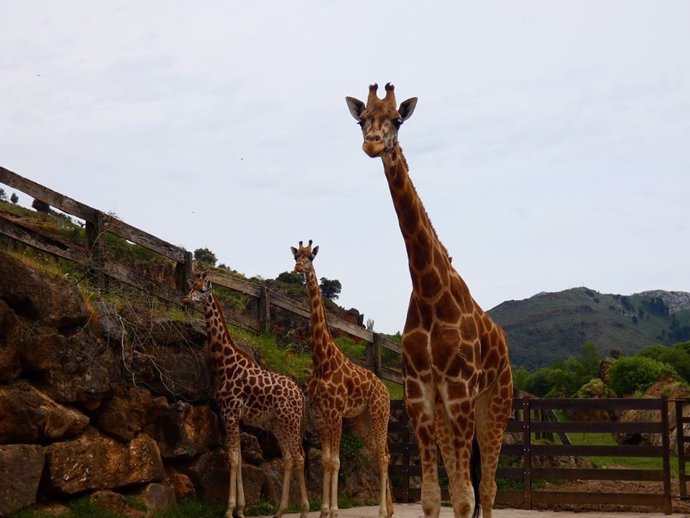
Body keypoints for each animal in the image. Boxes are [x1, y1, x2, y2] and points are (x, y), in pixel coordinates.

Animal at [180, 272, 306, 518]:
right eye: (192, 286)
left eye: (202, 290)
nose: (186, 299)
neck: (226, 363)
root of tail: (299, 394)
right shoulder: (234, 416)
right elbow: (237, 457)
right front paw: (240, 508)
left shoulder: (230, 412)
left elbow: (234, 458)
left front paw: (230, 509)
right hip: (277, 423)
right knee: (288, 458)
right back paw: (280, 510)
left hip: (290, 420)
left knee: (299, 456)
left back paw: (306, 510)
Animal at [288, 242, 390, 518]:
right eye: (296, 255)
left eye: (311, 257)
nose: (298, 267)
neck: (322, 362)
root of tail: (387, 390)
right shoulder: (321, 413)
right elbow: (326, 461)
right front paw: (324, 510)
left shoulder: (335, 413)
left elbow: (335, 461)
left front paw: (332, 510)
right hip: (361, 420)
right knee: (381, 453)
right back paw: (389, 510)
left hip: (379, 414)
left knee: (383, 456)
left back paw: (381, 511)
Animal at [344, 84, 510, 518]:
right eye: (361, 120)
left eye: (397, 120)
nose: (373, 143)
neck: (429, 291)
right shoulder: (420, 395)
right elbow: (434, 497)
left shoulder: (459, 391)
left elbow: (465, 496)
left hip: (495, 402)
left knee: (488, 487)